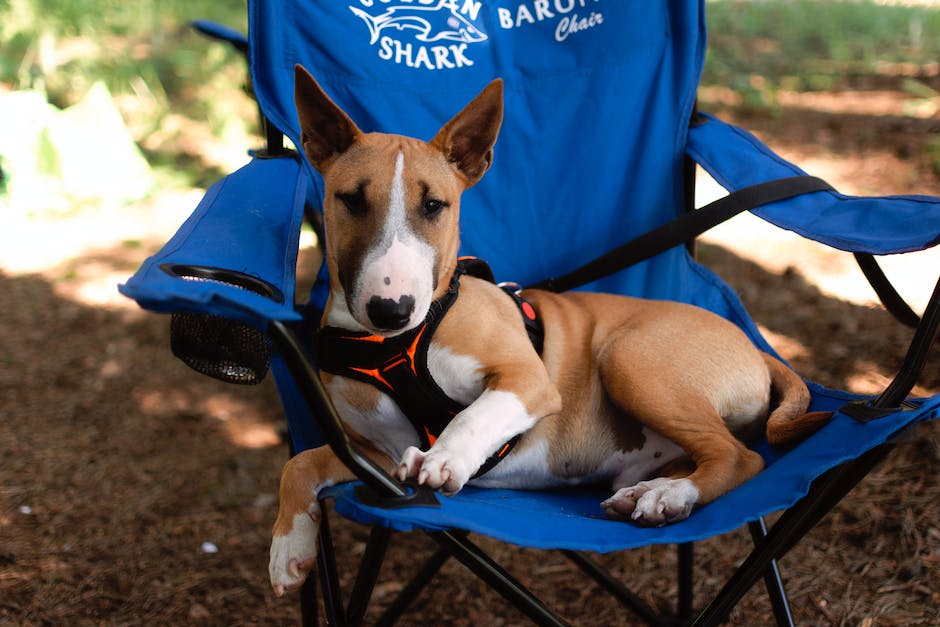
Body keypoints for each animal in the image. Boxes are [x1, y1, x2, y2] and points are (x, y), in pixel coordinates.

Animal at [268, 65, 828, 600]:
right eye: (351, 200)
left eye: (433, 206)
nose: (392, 309)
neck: (393, 346)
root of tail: (757, 348)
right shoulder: (376, 456)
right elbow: (300, 462)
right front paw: (288, 549)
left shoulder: (528, 379)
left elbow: (470, 417)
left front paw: (445, 458)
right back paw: (648, 492)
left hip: (631, 359)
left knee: (739, 457)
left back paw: (671, 496)